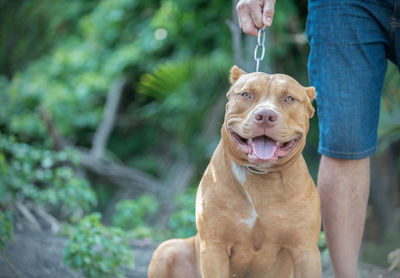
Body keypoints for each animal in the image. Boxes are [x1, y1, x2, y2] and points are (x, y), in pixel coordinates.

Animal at [149, 66, 322, 276]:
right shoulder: (214, 248)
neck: (259, 176)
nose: (266, 116)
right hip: (166, 249)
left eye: (289, 98)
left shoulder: (306, 251)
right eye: (247, 94)